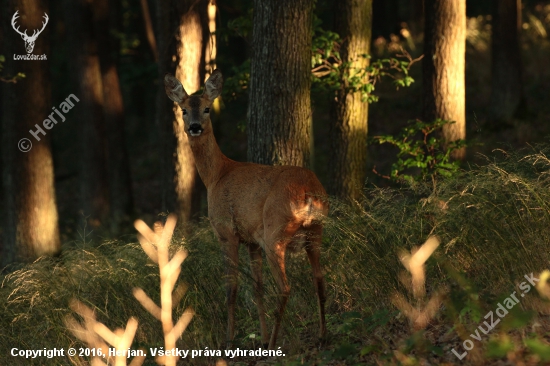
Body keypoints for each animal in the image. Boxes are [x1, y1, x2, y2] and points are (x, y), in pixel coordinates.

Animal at [164, 69, 328, 348]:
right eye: (184, 110)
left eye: (207, 108)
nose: (194, 127)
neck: (216, 175)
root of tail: (308, 191)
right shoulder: (252, 239)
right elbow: (257, 288)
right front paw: (259, 336)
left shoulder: (226, 231)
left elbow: (232, 288)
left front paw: (229, 340)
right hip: (315, 231)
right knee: (319, 279)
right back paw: (321, 335)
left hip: (276, 231)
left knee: (285, 287)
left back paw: (274, 342)